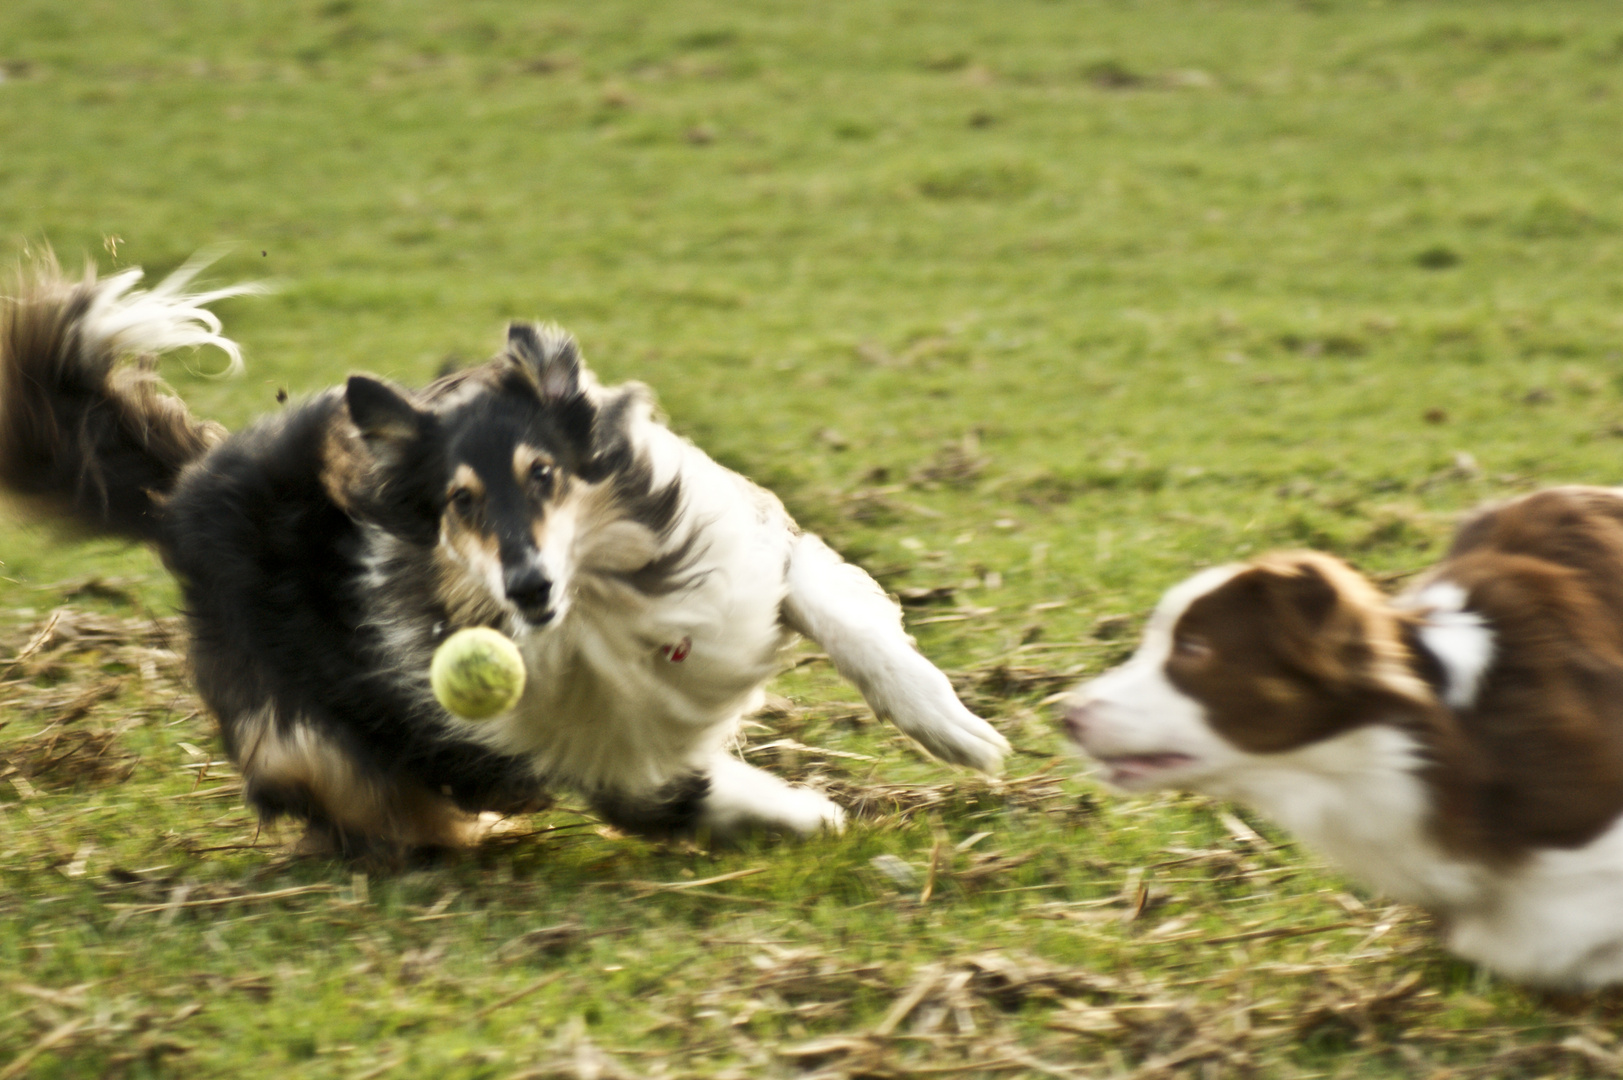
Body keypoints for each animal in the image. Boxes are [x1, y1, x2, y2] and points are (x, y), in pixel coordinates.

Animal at [3, 261, 999, 851]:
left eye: (545, 473)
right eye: (461, 503)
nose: (526, 587)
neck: (608, 603)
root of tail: (185, 489)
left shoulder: (744, 553)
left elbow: (845, 615)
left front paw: (959, 732)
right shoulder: (589, 754)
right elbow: (673, 796)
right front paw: (809, 812)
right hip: (306, 738)